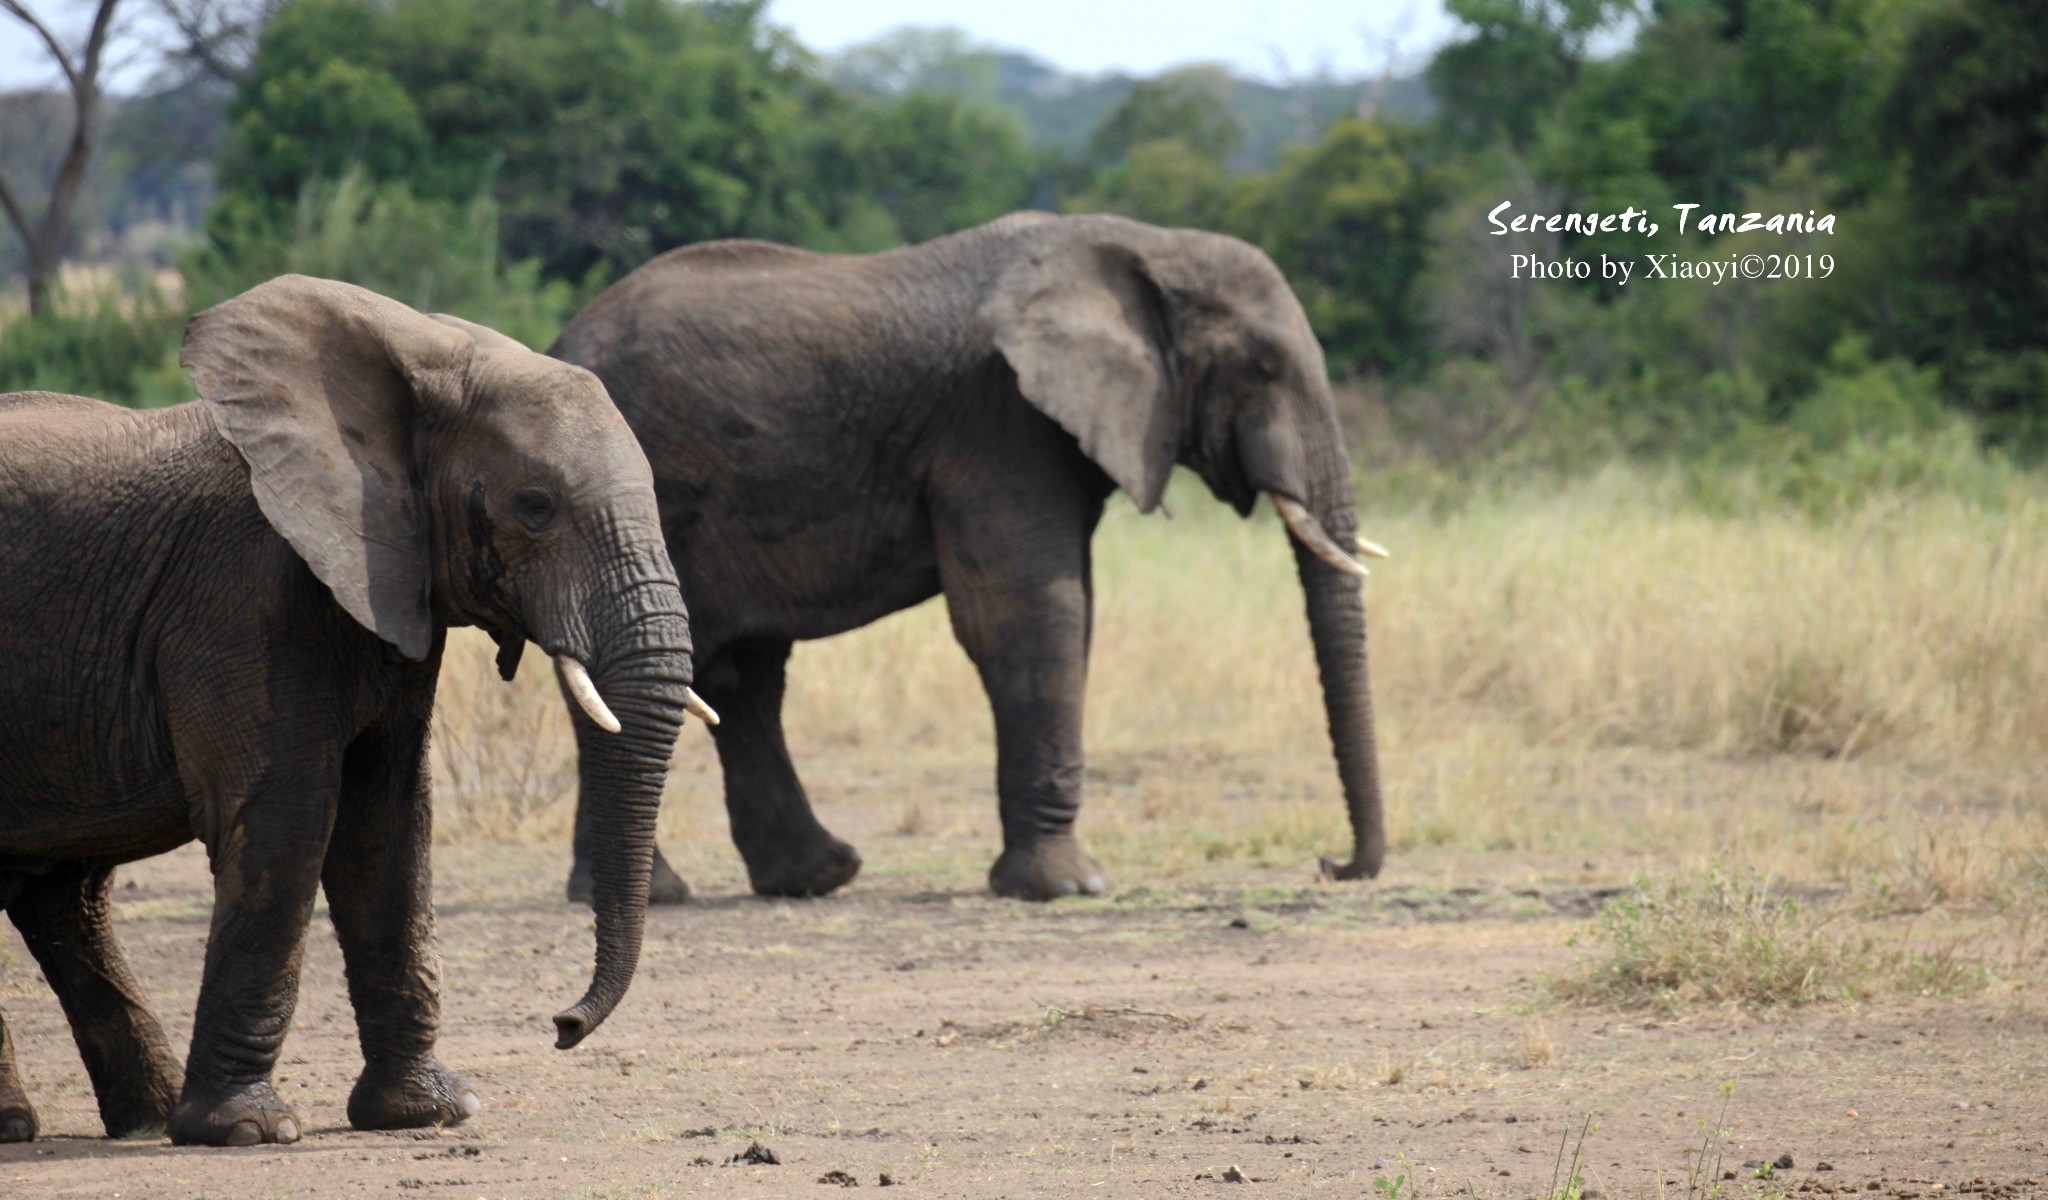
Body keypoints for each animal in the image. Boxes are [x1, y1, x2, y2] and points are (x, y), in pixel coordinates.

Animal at [0, 276, 708, 1146]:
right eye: (536, 504)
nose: (563, 1025)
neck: (425, 355)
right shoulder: (246, 593)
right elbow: (290, 818)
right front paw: (249, 1130)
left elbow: (389, 822)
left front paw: (425, 1113)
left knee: (64, 893)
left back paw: (127, 1119)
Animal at [552, 215, 1392, 901]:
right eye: (1262, 367)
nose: (1330, 865)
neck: (1145, 243)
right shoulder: (999, 421)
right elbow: (1030, 614)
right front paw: (1067, 888)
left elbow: (1069, 611)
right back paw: (662, 894)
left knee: (746, 676)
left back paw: (812, 877)